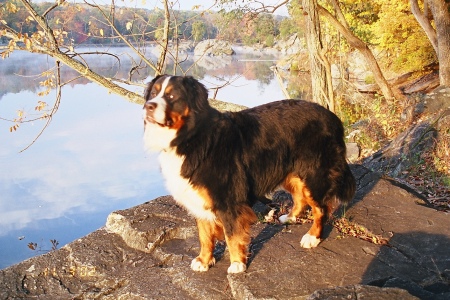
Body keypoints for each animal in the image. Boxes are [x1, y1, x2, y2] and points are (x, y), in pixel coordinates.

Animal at [143, 74, 356, 274]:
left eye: (172, 95)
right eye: (153, 93)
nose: (148, 106)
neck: (191, 137)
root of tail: (333, 117)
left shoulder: (228, 201)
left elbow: (231, 235)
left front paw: (237, 264)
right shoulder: (198, 198)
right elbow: (204, 235)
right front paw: (204, 260)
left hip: (313, 174)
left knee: (321, 208)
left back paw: (313, 237)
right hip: (291, 171)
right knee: (300, 196)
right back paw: (290, 217)